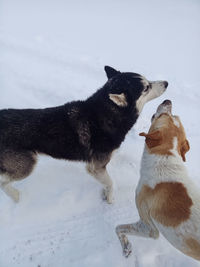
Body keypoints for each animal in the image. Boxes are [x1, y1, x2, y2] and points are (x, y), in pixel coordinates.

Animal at [0, 66, 167, 203]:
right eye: (146, 88)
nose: (166, 83)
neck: (107, 114)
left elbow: (107, 182)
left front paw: (105, 194)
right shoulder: (95, 167)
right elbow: (111, 183)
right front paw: (110, 199)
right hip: (26, 165)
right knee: (3, 182)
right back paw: (16, 197)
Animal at [115, 100, 200, 262]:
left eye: (166, 115)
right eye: (174, 116)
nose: (168, 101)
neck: (165, 158)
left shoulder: (148, 228)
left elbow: (118, 228)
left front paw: (126, 247)